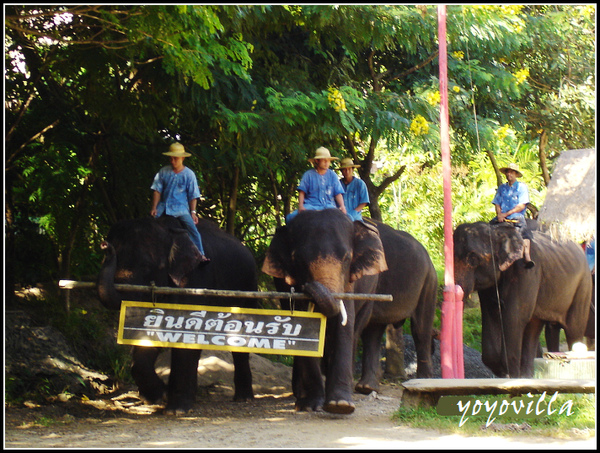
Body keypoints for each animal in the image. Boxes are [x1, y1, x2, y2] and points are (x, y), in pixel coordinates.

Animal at [97, 215, 256, 414]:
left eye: (146, 266)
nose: (105, 245)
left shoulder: (195, 282)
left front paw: (176, 410)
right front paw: (159, 396)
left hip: (247, 290)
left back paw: (244, 398)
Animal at [454, 221, 592, 376]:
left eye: (473, 259)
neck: (497, 231)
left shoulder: (526, 272)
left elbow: (514, 318)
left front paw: (512, 377)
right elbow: (491, 317)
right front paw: (505, 374)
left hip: (583, 286)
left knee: (574, 329)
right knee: (538, 328)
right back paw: (529, 374)